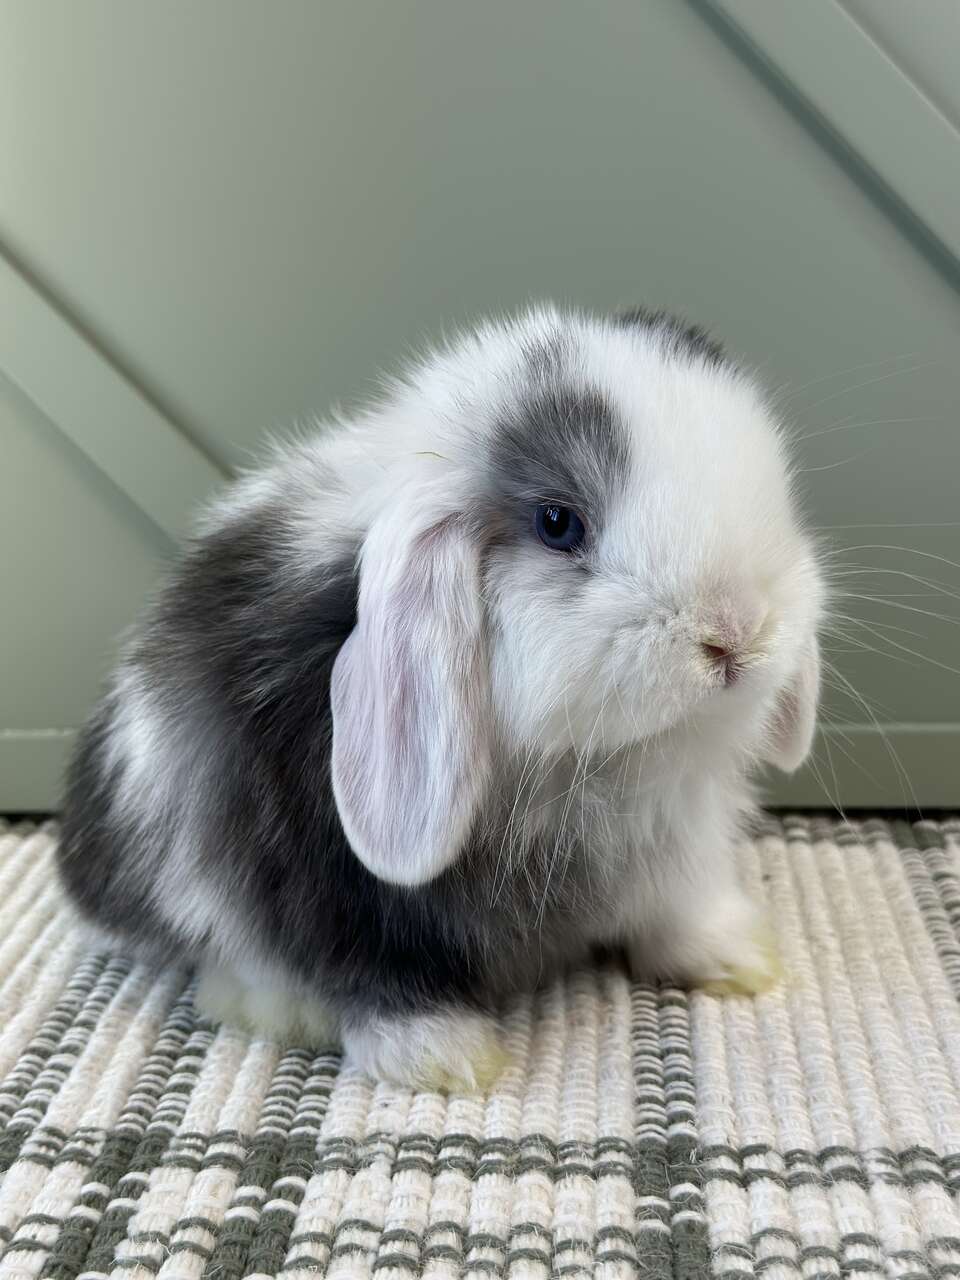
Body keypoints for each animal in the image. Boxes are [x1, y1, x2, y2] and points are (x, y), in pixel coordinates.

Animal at [60, 302, 824, 1090]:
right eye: (558, 523)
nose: (735, 633)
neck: (586, 764)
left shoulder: (675, 833)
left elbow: (681, 903)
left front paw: (737, 958)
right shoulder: (318, 871)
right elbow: (362, 962)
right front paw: (441, 1054)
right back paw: (280, 1009)